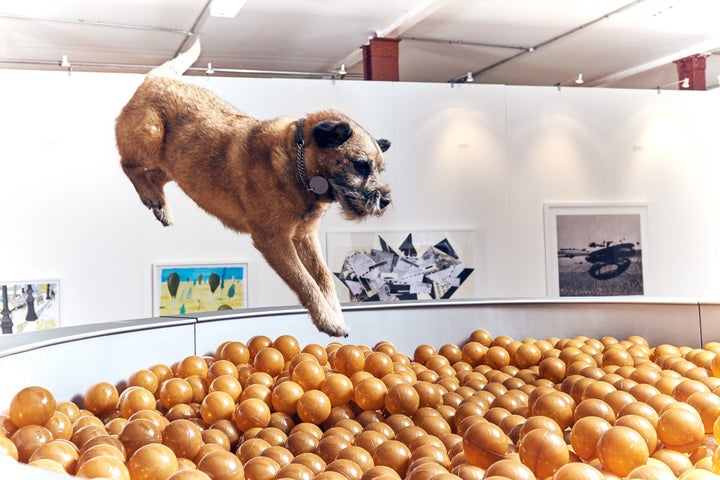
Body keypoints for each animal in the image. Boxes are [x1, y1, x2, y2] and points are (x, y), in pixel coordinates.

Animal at [115, 40, 390, 338]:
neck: (297, 163)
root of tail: (160, 77)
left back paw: (161, 204)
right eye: (361, 165)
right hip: (150, 138)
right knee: (128, 165)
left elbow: (324, 277)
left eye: (379, 169)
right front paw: (327, 319)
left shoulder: (305, 237)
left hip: (175, 167)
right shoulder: (274, 239)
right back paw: (151, 196)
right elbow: (305, 280)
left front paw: (335, 314)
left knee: (152, 175)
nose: (386, 200)